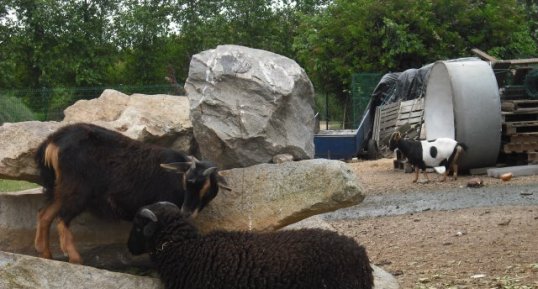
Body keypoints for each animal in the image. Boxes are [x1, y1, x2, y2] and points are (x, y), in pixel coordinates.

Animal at [33, 122, 226, 264]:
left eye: (207, 188)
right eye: (187, 182)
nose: (187, 211)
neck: (176, 178)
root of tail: (53, 141)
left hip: (60, 188)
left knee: (45, 214)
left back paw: (46, 254)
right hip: (77, 189)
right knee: (62, 219)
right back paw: (75, 258)